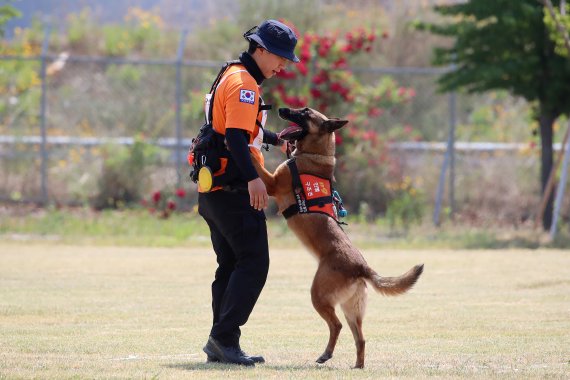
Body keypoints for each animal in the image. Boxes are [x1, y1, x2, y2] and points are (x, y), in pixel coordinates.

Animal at [253, 107, 422, 368]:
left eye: (304, 112)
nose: (280, 109)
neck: (315, 153)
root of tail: (361, 267)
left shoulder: (271, 183)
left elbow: (256, 164)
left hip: (319, 296)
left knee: (337, 325)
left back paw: (326, 354)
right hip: (352, 308)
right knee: (360, 338)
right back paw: (357, 366)